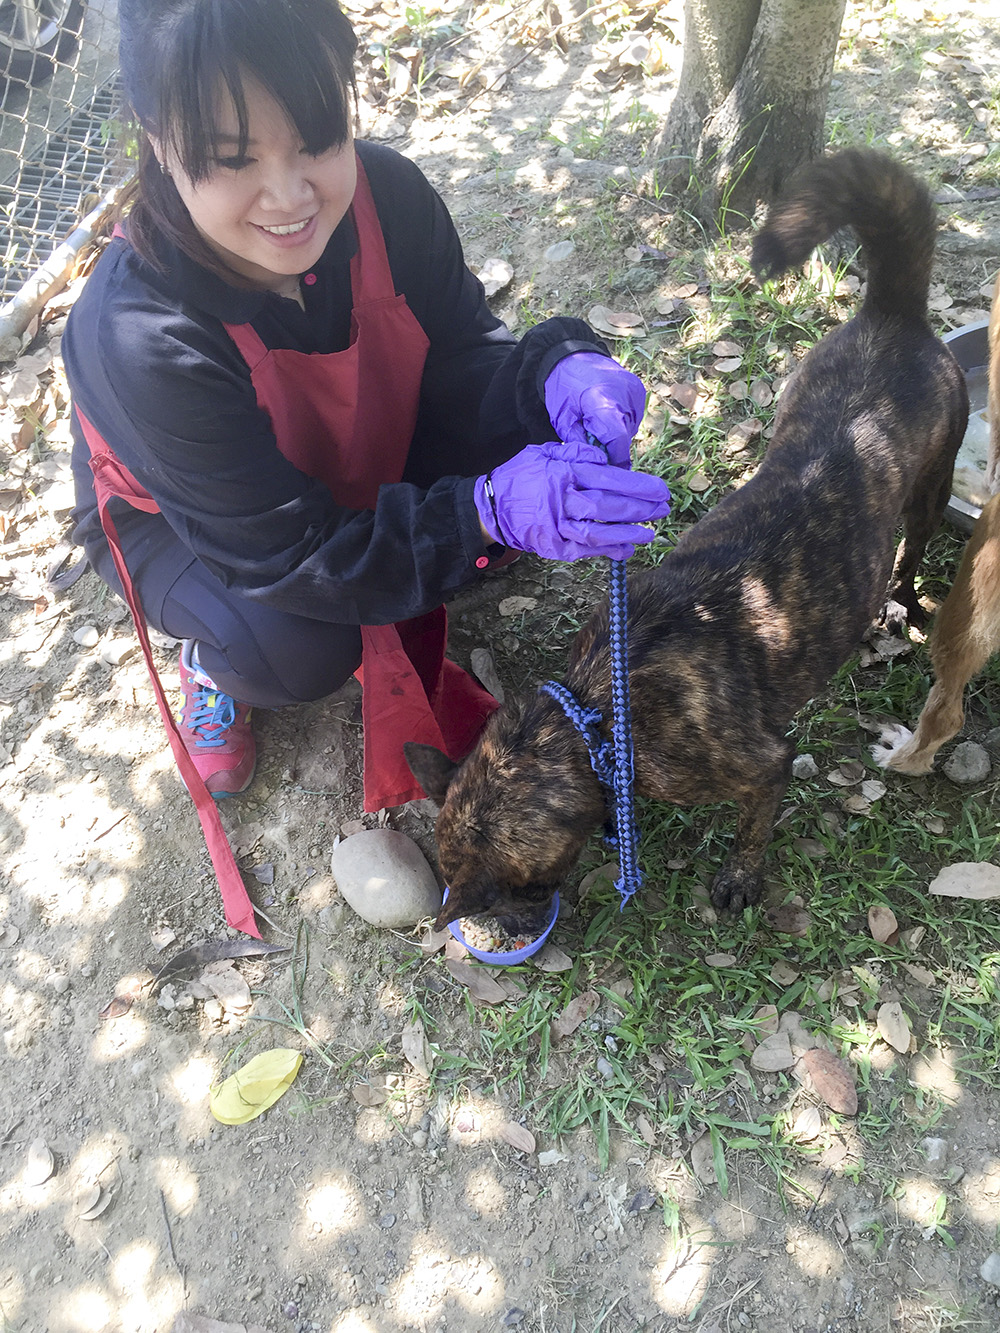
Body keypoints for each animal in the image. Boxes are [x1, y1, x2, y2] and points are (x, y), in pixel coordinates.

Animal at [406, 149, 969, 935]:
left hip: (930, 491)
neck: (592, 721)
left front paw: (740, 877)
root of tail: (893, 311)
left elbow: (754, 823)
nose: (496, 926)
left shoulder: (762, 763)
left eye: (509, 896)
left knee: (912, 554)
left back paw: (901, 604)